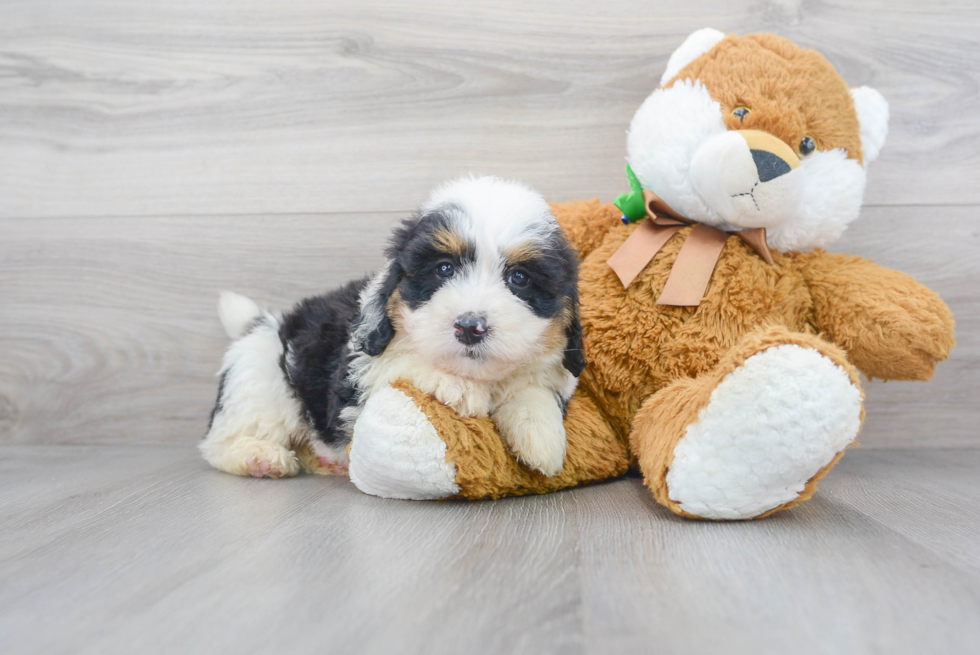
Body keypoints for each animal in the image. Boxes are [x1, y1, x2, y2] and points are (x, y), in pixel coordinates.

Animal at [199, 177, 580, 480]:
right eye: (444, 269)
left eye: (520, 278)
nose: (471, 327)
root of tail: (270, 323)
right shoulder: (361, 365)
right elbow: (405, 363)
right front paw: (457, 387)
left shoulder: (546, 370)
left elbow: (531, 389)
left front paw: (541, 439)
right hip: (259, 378)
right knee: (221, 440)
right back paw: (258, 457)